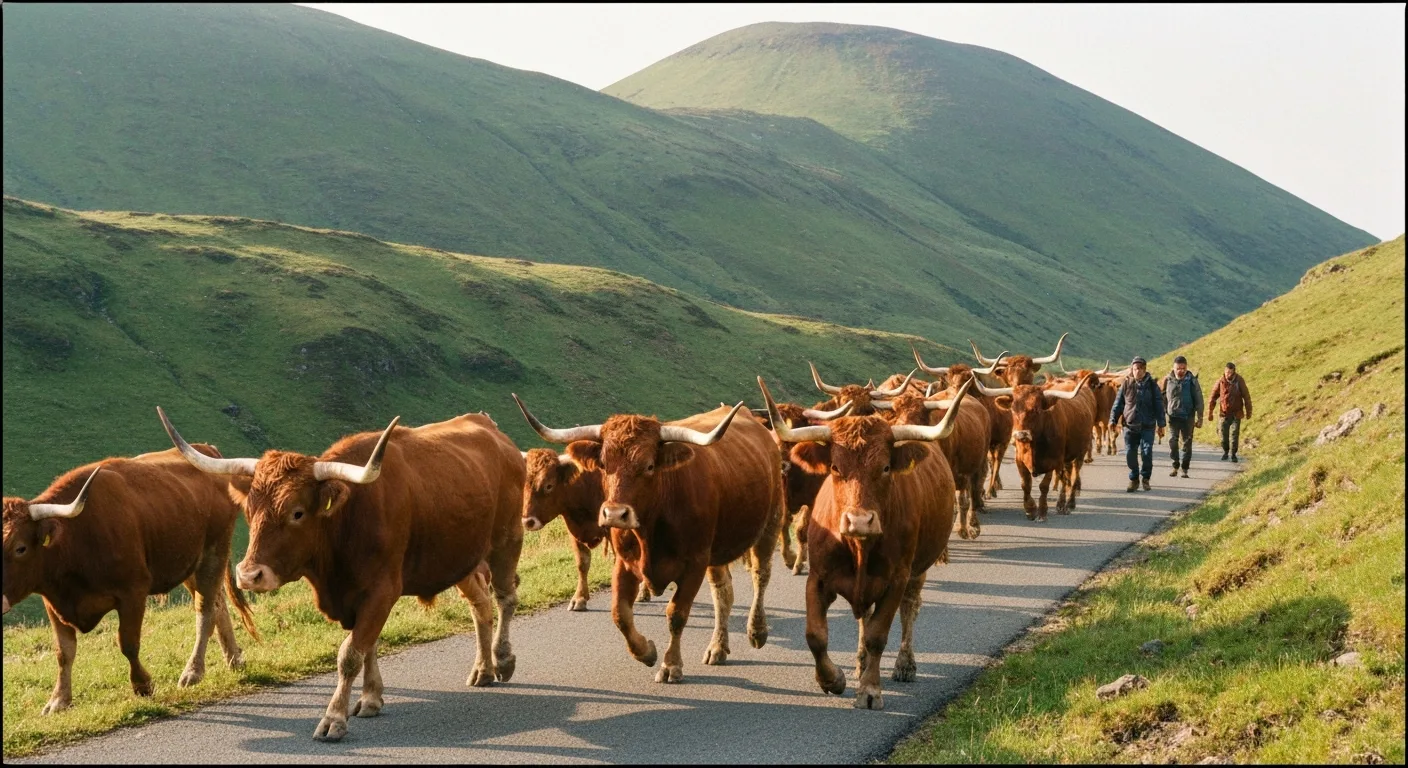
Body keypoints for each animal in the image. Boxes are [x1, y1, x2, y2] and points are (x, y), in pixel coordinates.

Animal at [2, 447, 258, 715]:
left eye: (20, 548)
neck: (75, 540)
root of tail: (207, 450)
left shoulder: (133, 592)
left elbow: (128, 643)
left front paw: (142, 685)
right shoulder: (53, 602)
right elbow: (64, 652)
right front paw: (58, 700)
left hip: (214, 551)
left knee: (206, 610)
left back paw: (193, 672)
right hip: (189, 563)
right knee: (218, 604)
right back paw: (234, 659)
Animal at [158, 407, 524, 742]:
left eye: (297, 513)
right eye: (249, 510)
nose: (249, 575)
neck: (348, 519)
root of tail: (491, 429)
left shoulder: (382, 591)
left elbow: (350, 654)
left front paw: (334, 717)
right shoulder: (354, 596)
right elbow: (367, 645)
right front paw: (371, 698)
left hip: (506, 540)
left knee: (505, 597)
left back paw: (503, 659)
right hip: (460, 558)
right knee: (480, 604)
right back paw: (483, 668)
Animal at [520, 449, 652, 609]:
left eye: (548, 485)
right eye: (524, 485)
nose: (528, 522)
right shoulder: (573, 530)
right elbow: (582, 563)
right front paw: (579, 598)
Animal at [749, 400, 853, 576]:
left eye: (794, 439)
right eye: (770, 432)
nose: (781, 463)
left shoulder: (811, 502)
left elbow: (802, 531)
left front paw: (798, 563)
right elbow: (784, 524)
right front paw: (789, 558)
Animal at [972, 375, 1093, 522]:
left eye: (1036, 410)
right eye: (1013, 409)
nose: (1020, 435)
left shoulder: (1052, 461)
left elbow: (1044, 486)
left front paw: (1042, 511)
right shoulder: (1020, 460)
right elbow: (1026, 484)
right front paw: (1030, 509)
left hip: (1080, 453)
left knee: (1073, 477)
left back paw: (1068, 503)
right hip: (1066, 459)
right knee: (1066, 477)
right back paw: (1062, 504)